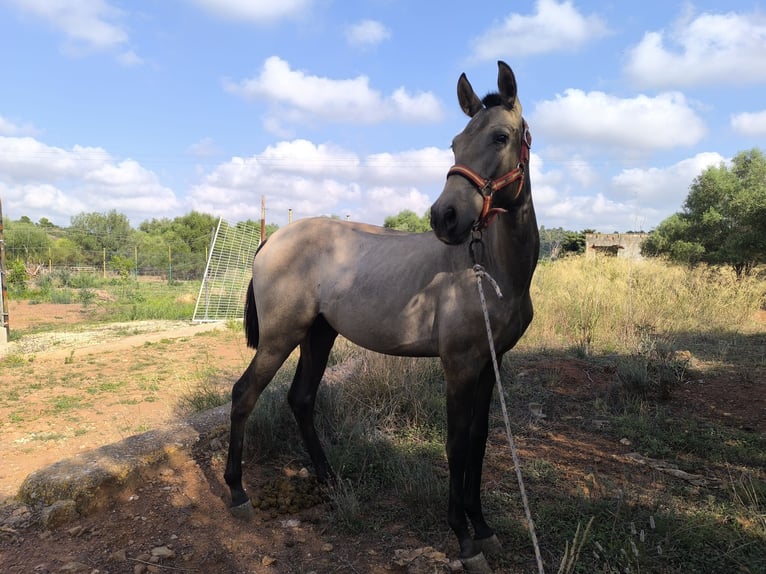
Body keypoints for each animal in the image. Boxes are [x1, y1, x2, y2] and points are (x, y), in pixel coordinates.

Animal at [224, 60, 539, 572]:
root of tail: (272, 240)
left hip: (319, 335)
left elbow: (479, 439)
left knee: (301, 399)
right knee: (244, 394)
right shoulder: (459, 365)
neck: (490, 267)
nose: (445, 217)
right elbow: (457, 443)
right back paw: (237, 493)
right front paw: (464, 538)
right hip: (280, 338)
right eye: (455, 142)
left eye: (500, 137)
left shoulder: (491, 364)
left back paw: (329, 478)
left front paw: (484, 527)